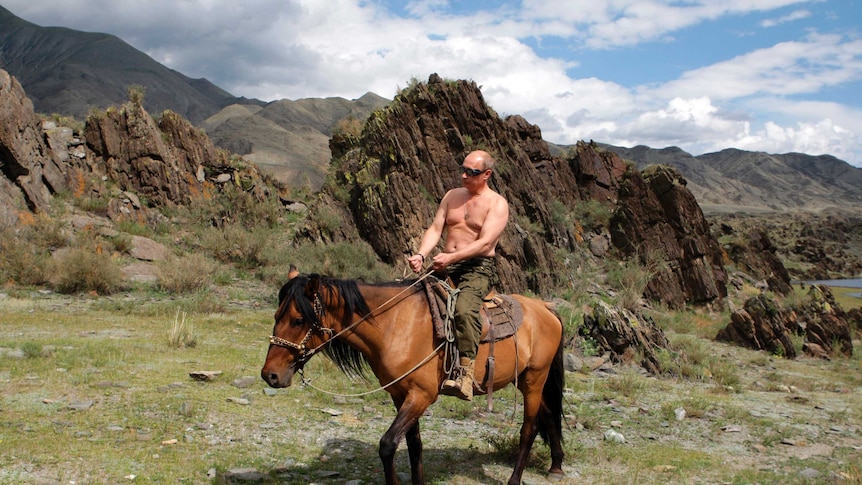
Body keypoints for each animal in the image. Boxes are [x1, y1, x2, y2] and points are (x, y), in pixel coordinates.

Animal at [264, 268, 568, 484]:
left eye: (298, 320)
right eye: (276, 315)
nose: (270, 375)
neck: (395, 325)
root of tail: (545, 308)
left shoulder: (421, 395)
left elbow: (388, 445)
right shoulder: (401, 395)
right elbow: (414, 445)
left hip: (534, 379)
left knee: (529, 428)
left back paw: (515, 479)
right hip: (529, 379)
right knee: (549, 414)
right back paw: (556, 466)